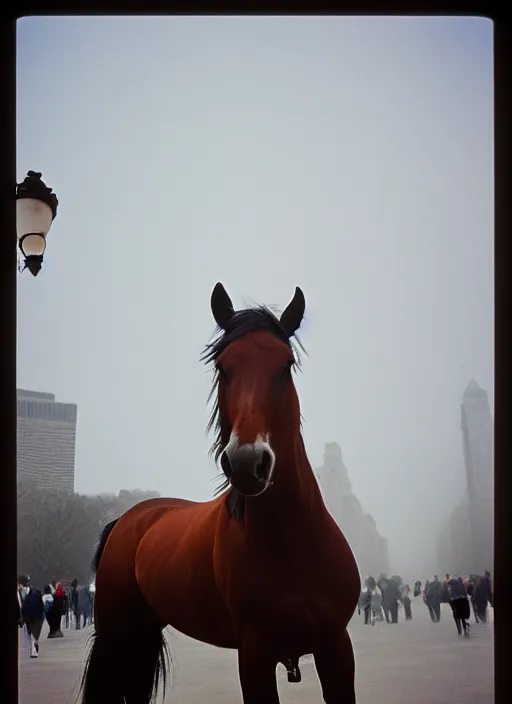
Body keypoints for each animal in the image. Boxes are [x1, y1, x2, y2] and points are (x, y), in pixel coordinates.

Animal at [79, 284, 360, 700]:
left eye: (286, 365)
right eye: (222, 367)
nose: (247, 462)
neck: (291, 543)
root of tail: (131, 517)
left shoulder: (337, 647)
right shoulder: (255, 654)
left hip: (143, 631)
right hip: (116, 635)